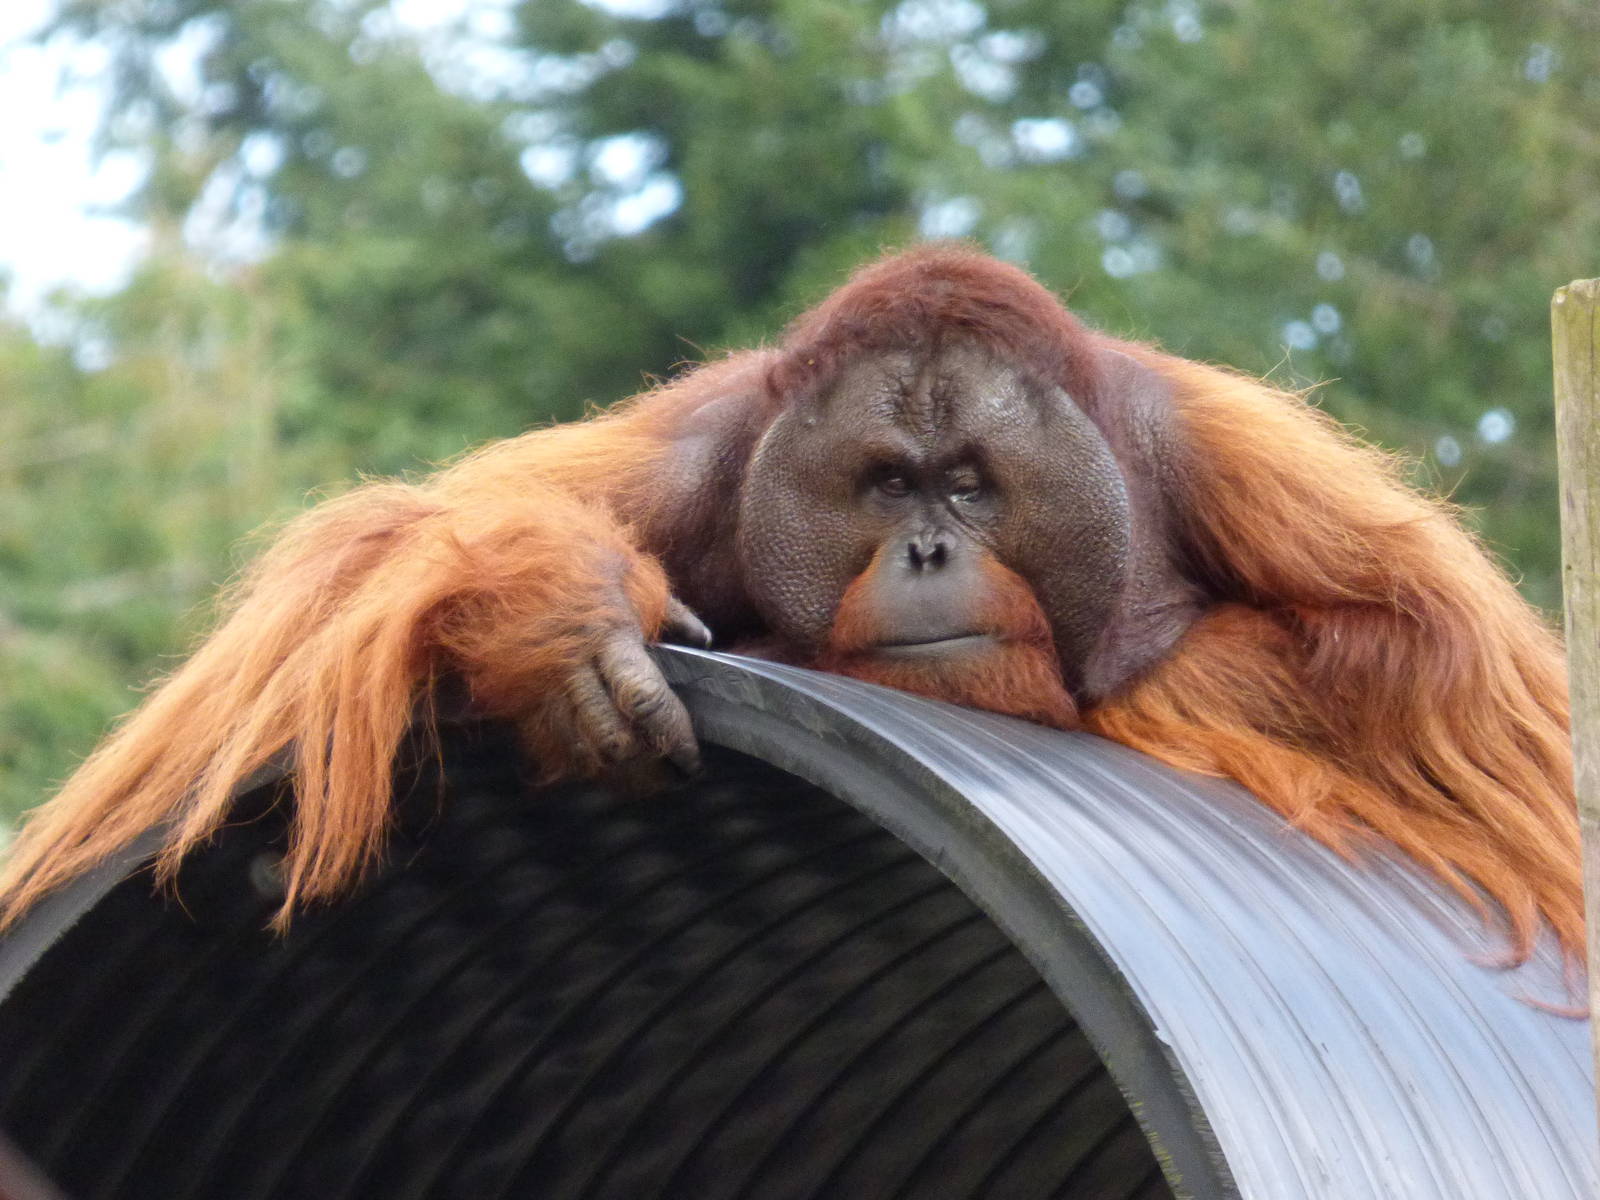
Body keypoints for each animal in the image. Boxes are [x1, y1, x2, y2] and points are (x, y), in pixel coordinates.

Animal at [0, 245, 1576, 971]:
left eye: (973, 487)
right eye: (884, 485)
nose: (929, 549)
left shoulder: (1239, 456)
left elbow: (1435, 693)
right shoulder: (702, 443)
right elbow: (368, 559)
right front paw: (570, 630)